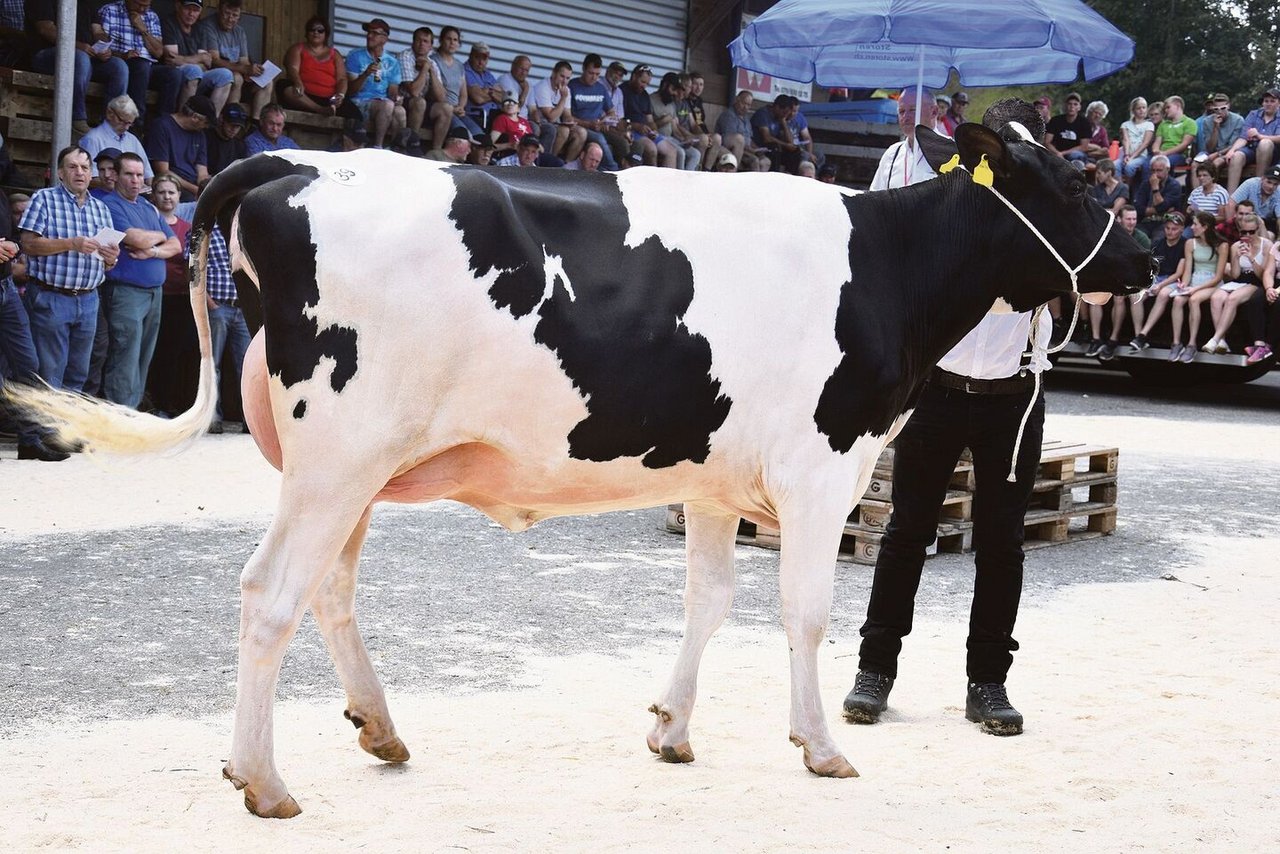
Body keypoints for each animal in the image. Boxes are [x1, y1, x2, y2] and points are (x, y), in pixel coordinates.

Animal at [10, 123, 1152, 819]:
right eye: (1071, 178)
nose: (1141, 259)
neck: (885, 267)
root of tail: (290, 162)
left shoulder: (711, 479)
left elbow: (707, 600)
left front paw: (672, 730)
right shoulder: (821, 464)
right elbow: (806, 611)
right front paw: (820, 742)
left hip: (347, 466)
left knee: (328, 590)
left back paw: (379, 729)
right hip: (337, 454)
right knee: (269, 594)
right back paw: (263, 778)